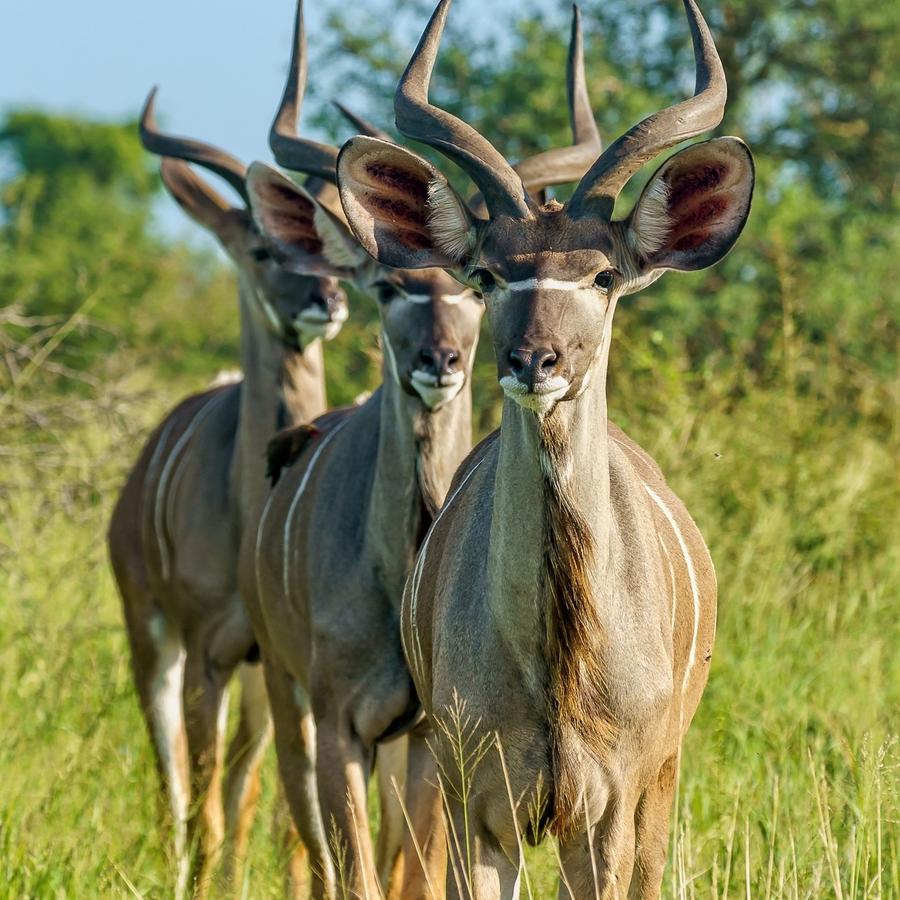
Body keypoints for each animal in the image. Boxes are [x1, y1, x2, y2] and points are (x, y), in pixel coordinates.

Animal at [107, 89, 354, 892]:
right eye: (263, 250)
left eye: (330, 248)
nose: (327, 299)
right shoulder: (207, 651)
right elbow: (204, 797)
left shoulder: (269, 663)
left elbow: (270, 809)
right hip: (152, 638)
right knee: (177, 779)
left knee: (242, 789)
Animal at [334, 0, 756, 892]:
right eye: (490, 275)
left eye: (603, 276)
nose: (535, 360)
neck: (557, 668)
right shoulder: (476, 805)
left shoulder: (605, 816)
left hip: (662, 783)